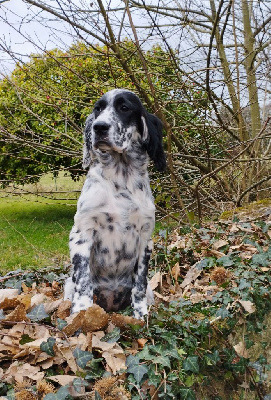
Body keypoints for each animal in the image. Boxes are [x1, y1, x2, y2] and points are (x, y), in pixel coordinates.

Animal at [65, 90, 167, 318]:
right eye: (98, 109)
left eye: (124, 108)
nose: (99, 127)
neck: (121, 177)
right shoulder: (82, 233)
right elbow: (83, 280)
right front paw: (81, 313)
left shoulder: (145, 238)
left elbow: (140, 283)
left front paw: (141, 316)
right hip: (67, 285)